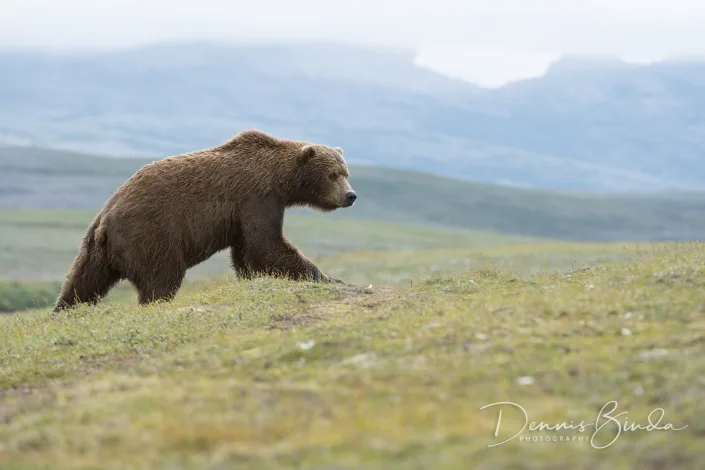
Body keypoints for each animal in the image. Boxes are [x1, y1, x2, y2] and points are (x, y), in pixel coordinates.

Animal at [52, 129, 357, 312]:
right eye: (332, 174)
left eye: (346, 172)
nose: (351, 195)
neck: (279, 178)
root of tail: (106, 219)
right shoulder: (256, 198)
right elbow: (266, 244)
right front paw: (327, 277)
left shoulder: (242, 215)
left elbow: (247, 253)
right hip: (150, 234)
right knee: (162, 277)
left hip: (94, 247)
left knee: (81, 283)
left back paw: (62, 311)